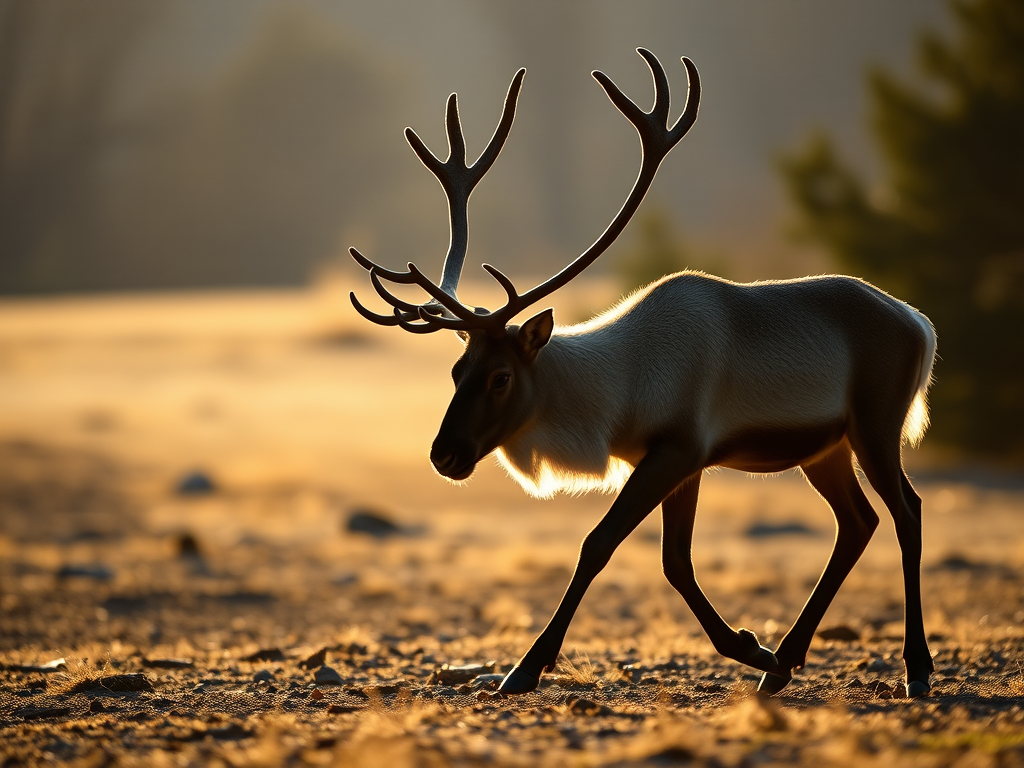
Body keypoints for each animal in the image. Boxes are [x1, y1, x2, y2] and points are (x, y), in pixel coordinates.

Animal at [349, 49, 937, 699]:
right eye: (457, 369)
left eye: (501, 376)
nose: (444, 454)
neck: (619, 393)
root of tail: (920, 323)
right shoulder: (678, 462)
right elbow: (675, 562)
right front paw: (755, 650)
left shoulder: (678, 450)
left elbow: (600, 544)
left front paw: (525, 668)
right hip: (825, 447)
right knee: (857, 522)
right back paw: (785, 662)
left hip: (875, 424)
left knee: (907, 512)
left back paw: (916, 667)